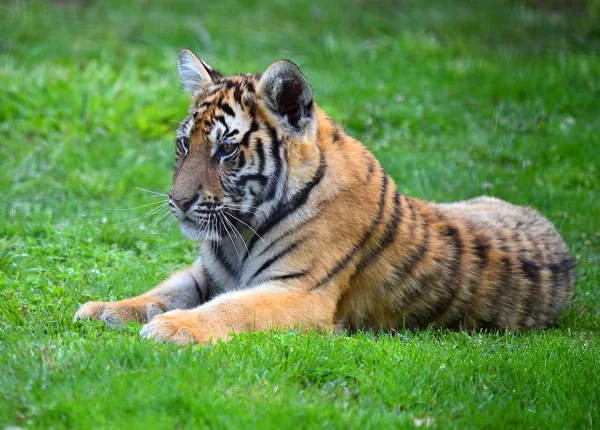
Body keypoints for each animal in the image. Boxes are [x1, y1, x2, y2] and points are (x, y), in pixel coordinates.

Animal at [74, 48, 576, 344]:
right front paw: (103, 309)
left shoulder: (299, 291)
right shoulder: (207, 273)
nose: (178, 202)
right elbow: (162, 290)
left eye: (227, 149)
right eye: (184, 144)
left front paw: (171, 327)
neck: (240, 232)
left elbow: (230, 310)